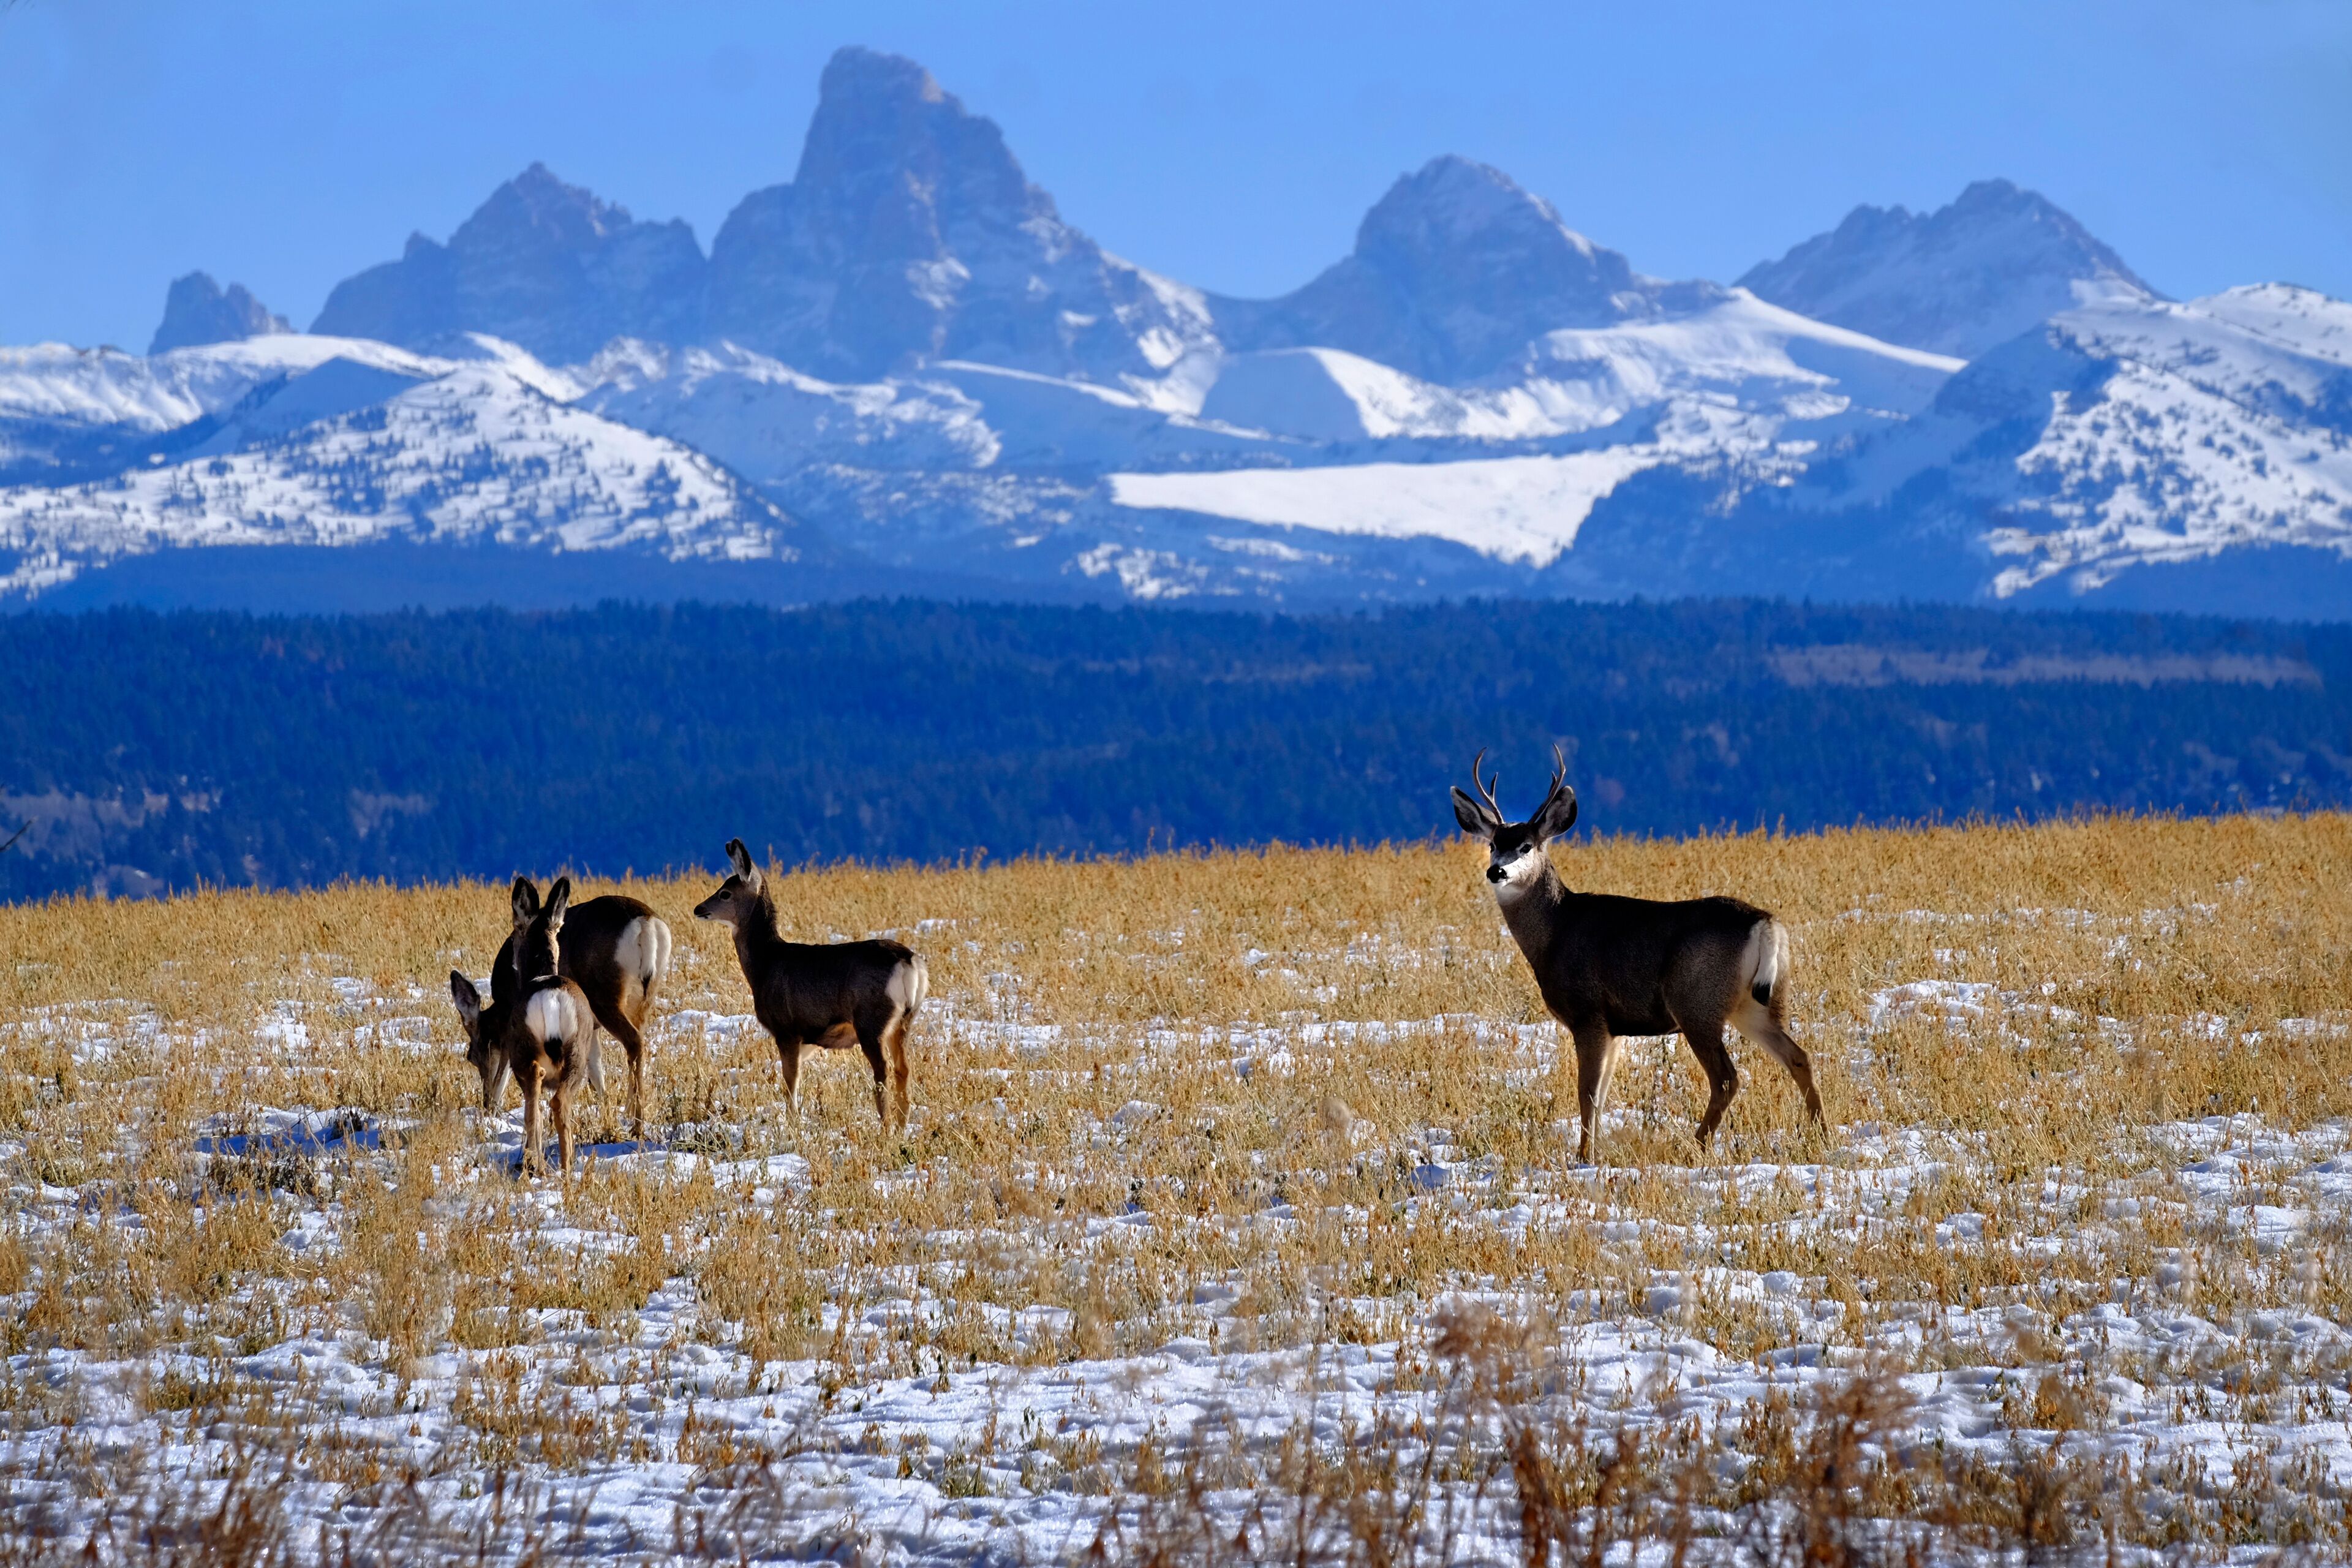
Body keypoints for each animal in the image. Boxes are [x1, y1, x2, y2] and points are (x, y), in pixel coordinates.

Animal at [448, 875, 602, 1176]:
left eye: (516, 930)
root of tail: (551, 996)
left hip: (525, 1053)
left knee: (537, 1100)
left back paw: (537, 1164)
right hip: (577, 1052)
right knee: (560, 1103)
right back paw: (566, 1169)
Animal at [693, 838, 926, 1132]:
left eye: (725, 893)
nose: (698, 909)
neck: (765, 964)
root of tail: (909, 961)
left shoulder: (786, 1028)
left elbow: (790, 1079)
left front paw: (792, 1122)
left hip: (871, 1019)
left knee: (883, 1069)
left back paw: (885, 1127)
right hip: (905, 1019)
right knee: (903, 1068)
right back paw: (902, 1125)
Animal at [1451, 748, 1825, 1163]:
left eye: (1527, 846)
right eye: (1492, 844)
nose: (1496, 872)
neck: (1555, 933)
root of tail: (1765, 923)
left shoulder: (1588, 1013)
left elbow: (1587, 1093)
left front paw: (1585, 1157)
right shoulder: (1614, 1028)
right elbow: (1601, 1096)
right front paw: (1593, 1151)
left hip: (1696, 1001)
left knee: (1727, 1078)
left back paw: (1695, 1146)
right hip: (1759, 1002)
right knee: (1799, 1056)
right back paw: (1820, 1135)